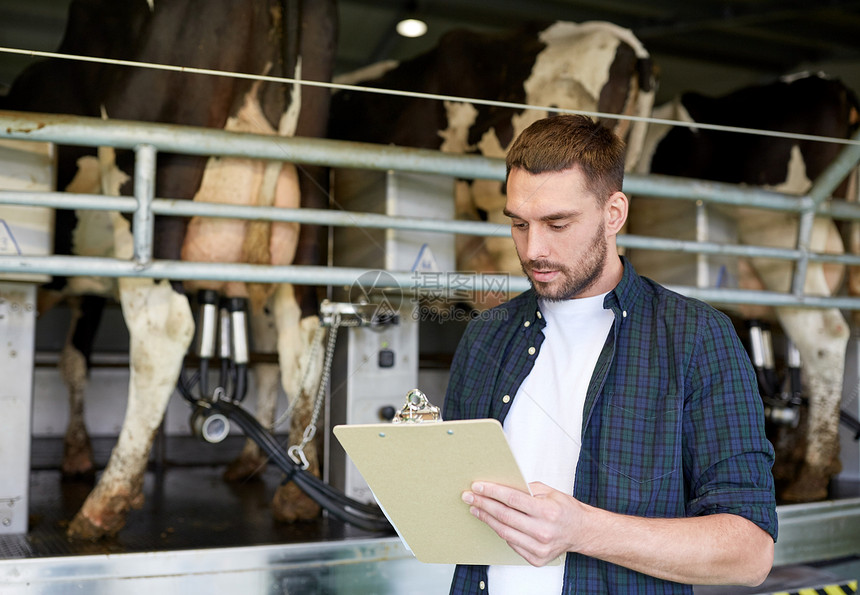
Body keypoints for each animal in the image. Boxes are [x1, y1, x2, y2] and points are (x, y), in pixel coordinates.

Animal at [4, 0, 340, 540]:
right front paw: (76, 452)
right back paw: (295, 494)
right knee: (300, 333)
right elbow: (74, 360)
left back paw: (106, 502)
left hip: (153, 188)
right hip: (305, 219)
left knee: (164, 328)